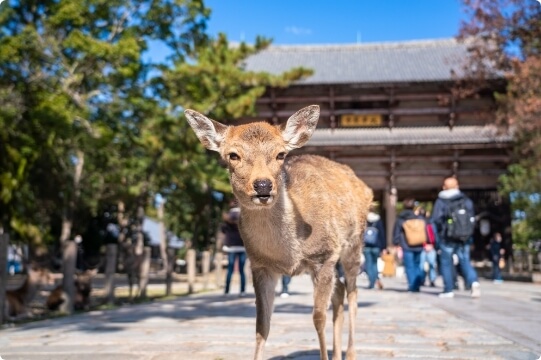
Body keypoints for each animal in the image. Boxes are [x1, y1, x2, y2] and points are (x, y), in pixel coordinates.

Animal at [185, 104, 372, 360]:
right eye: (233, 155)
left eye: (281, 154)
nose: (263, 185)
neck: (288, 253)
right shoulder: (260, 265)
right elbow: (261, 324)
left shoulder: (324, 256)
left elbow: (318, 318)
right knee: (341, 291)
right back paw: (337, 355)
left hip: (353, 245)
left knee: (353, 294)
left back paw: (350, 353)